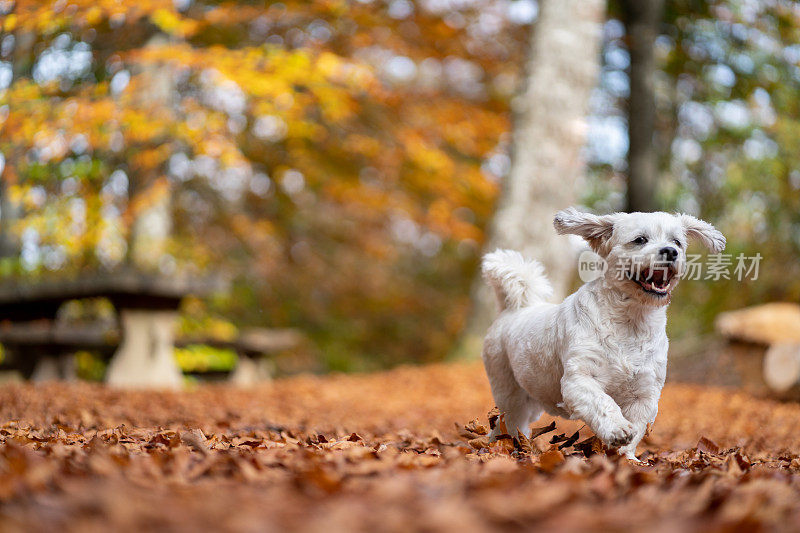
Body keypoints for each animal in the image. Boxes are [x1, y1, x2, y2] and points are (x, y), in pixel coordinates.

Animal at [482, 208, 724, 458]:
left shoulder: (645, 393)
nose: (670, 251)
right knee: (507, 421)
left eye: (677, 242)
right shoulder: (579, 380)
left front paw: (625, 457)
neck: (630, 322)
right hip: (509, 393)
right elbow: (603, 402)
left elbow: (637, 426)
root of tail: (514, 309)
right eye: (640, 240)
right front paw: (617, 429)